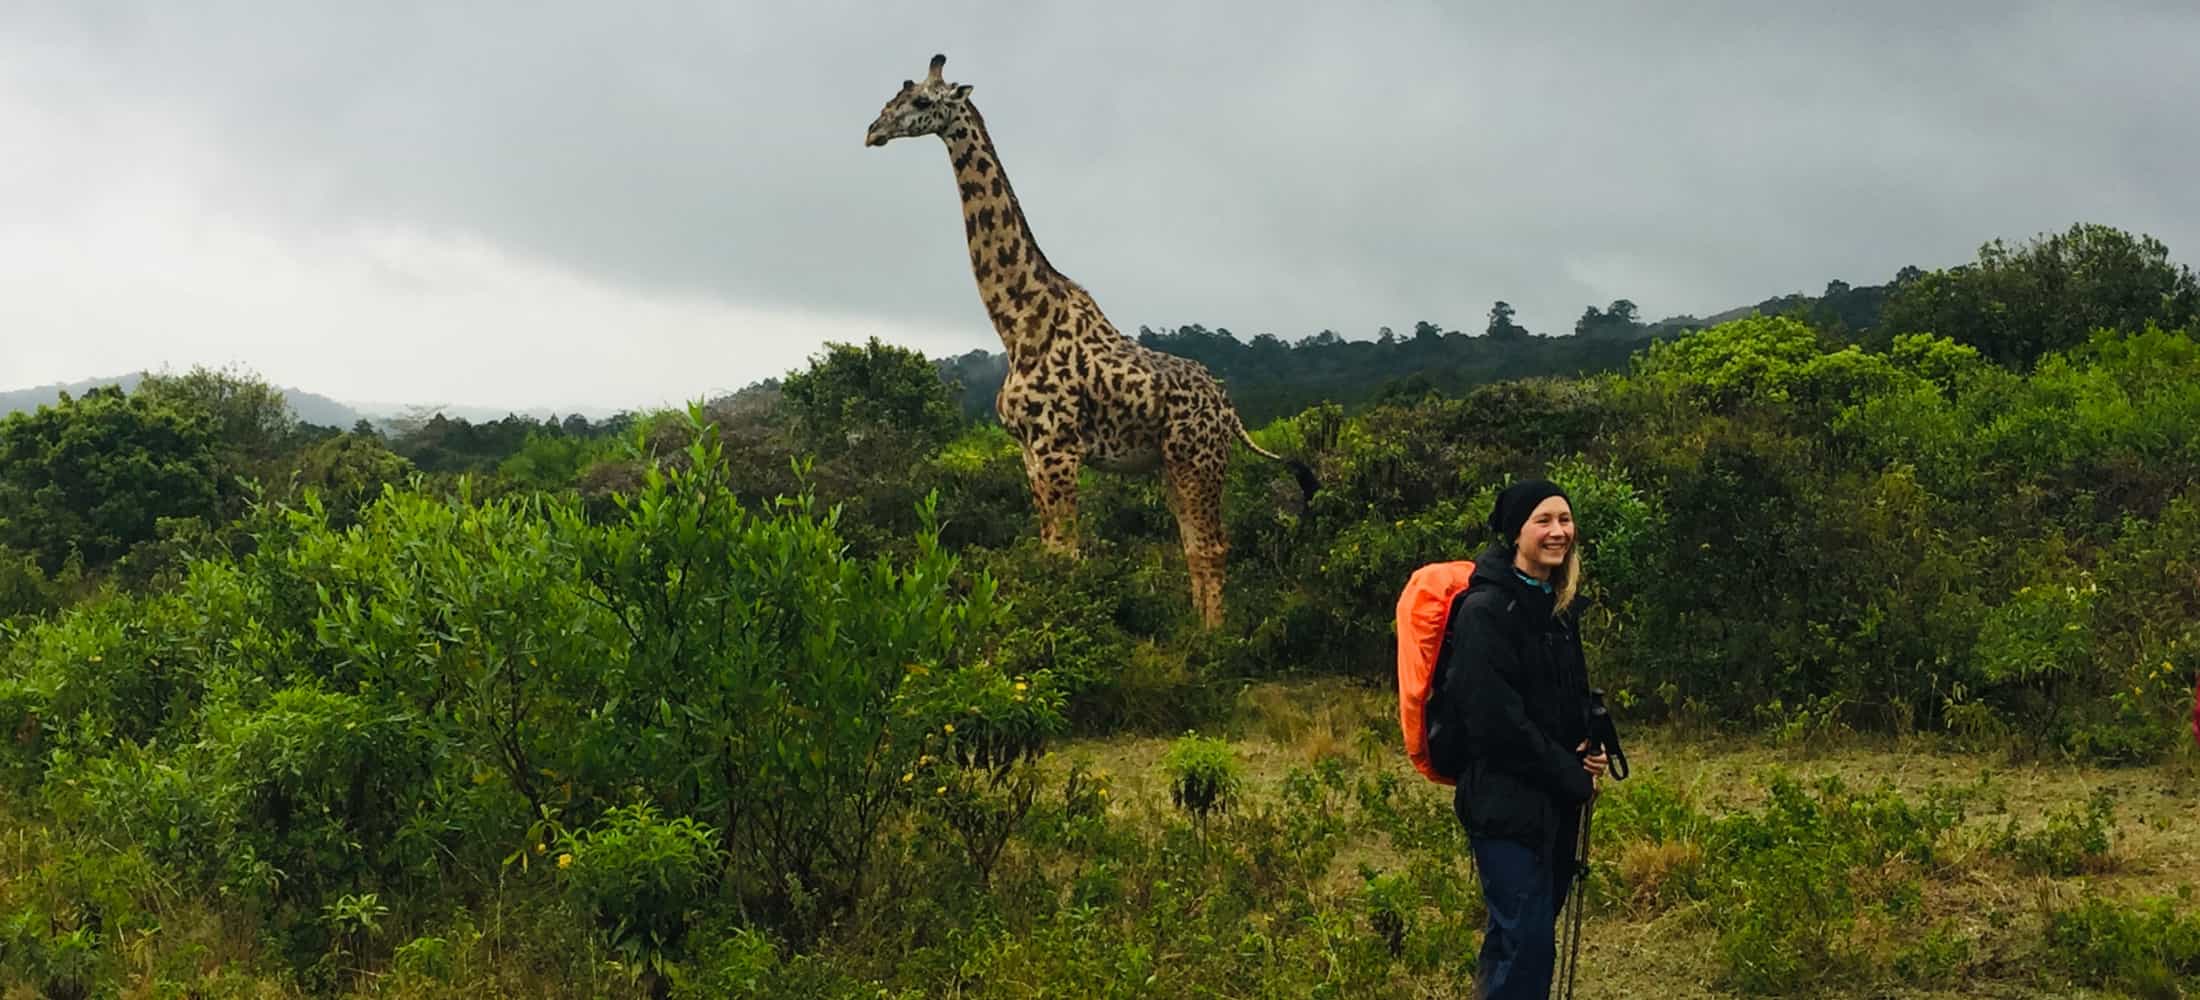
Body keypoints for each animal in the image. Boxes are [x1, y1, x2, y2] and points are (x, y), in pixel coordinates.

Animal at [862, 52, 1311, 624]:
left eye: (920, 100)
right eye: (895, 94)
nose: (873, 131)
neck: (1017, 322)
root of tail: (1229, 408)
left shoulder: (1059, 449)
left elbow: (1067, 555)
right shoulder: (1029, 453)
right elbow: (1049, 553)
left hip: (1198, 457)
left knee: (1212, 545)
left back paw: (1216, 640)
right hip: (1171, 463)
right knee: (1193, 546)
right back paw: (1197, 634)